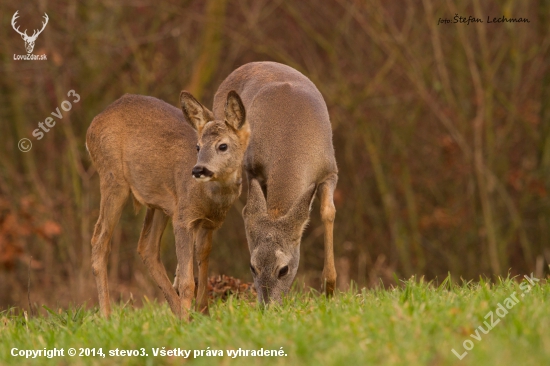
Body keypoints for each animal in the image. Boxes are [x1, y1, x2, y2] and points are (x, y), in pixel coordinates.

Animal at [87, 90, 250, 318]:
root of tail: (94, 123)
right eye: (198, 146)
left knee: (147, 247)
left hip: (159, 201)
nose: (198, 170)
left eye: (223, 145)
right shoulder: (183, 218)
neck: (210, 198)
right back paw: (107, 316)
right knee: (100, 240)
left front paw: (203, 313)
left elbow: (203, 266)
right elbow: (187, 281)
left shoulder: (208, 224)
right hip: (113, 178)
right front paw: (190, 317)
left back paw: (178, 311)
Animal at [213, 62, 338, 304]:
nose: (266, 306)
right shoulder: (254, 169)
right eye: (252, 267)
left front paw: (329, 288)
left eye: (283, 269)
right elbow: (249, 212)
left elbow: (328, 212)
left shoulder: (330, 170)